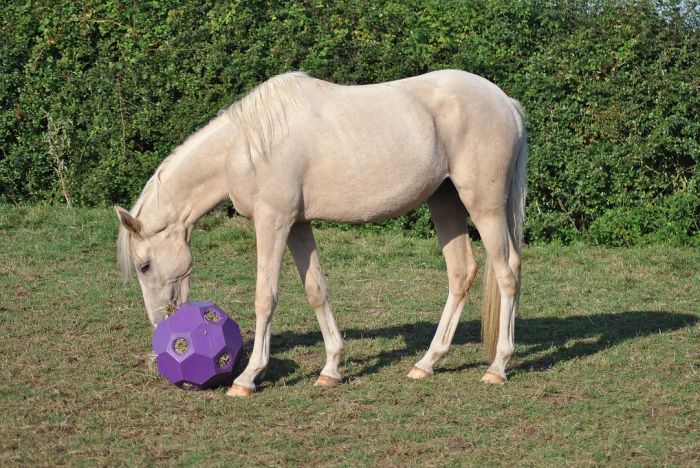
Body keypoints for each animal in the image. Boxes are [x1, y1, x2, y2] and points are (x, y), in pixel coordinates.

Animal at [117, 70, 528, 398]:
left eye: (144, 265)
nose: (161, 324)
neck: (247, 145)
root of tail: (506, 102)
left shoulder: (273, 222)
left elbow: (265, 296)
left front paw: (247, 377)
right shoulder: (297, 225)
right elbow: (316, 289)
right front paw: (331, 369)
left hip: (484, 205)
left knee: (507, 271)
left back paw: (498, 367)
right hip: (444, 202)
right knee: (461, 272)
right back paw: (426, 362)